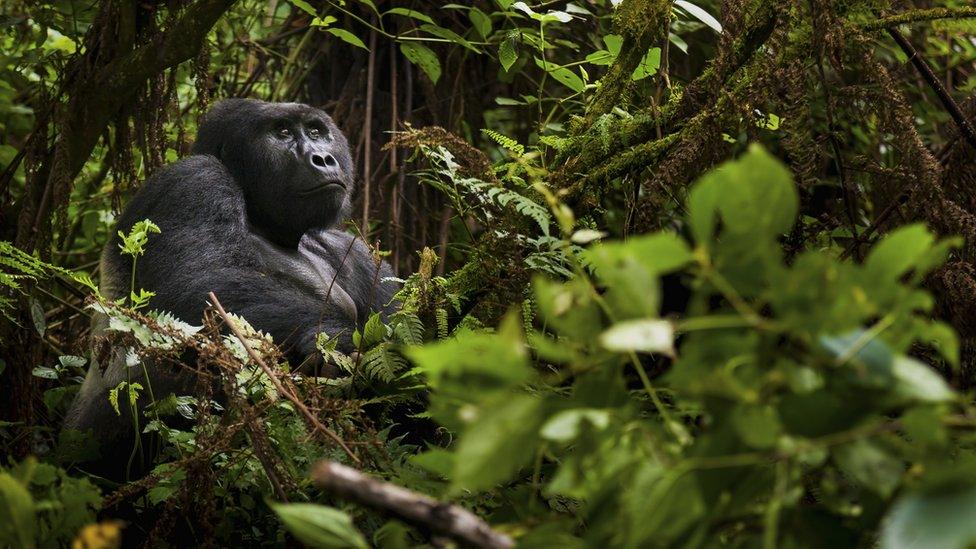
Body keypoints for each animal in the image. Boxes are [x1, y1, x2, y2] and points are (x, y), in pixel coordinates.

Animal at [63, 99, 396, 470]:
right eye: (282, 132)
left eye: (316, 131)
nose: (323, 158)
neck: (265, 222)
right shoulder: (194, 179)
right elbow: (191, 287)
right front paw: (336, 338)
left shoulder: (351, 249)